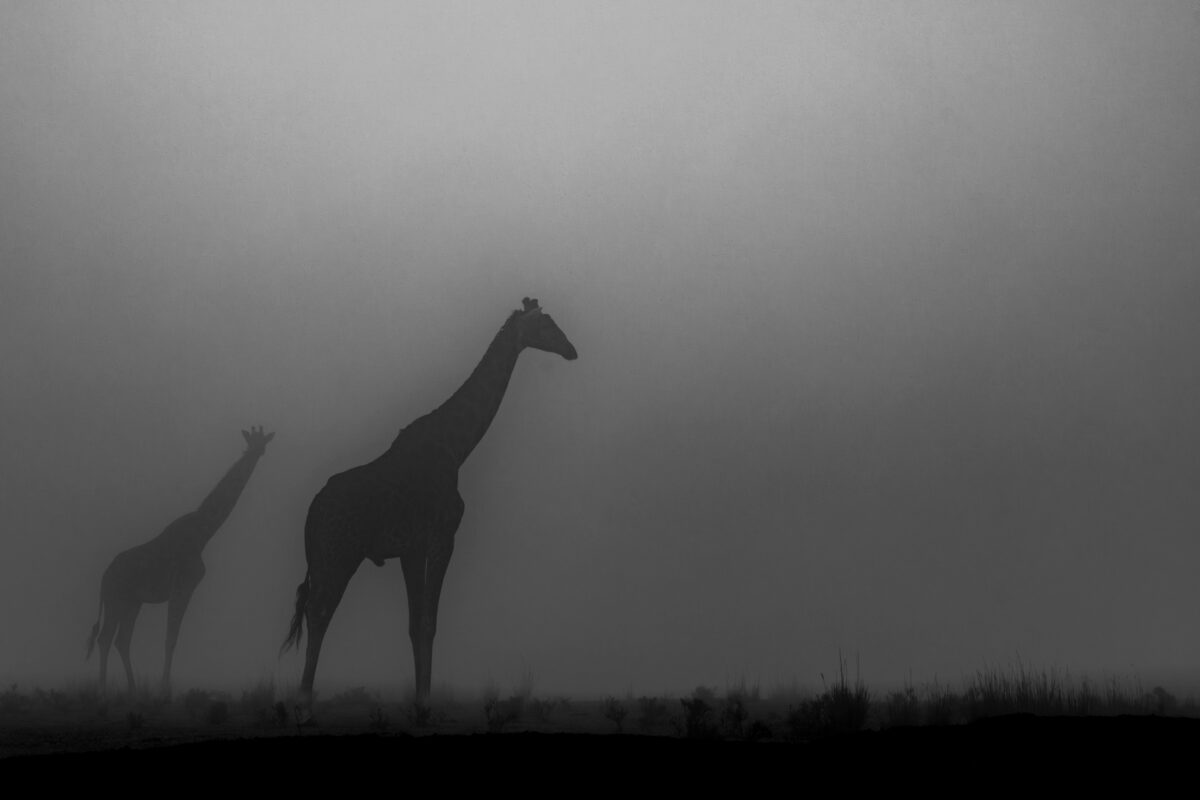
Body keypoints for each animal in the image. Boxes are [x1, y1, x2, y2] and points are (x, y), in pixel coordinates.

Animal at [85, 426, 275, 695]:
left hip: (133, 602)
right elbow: (171, 638)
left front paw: (162, 686)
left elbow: (171, 637)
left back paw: (133, 688)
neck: (203, 532)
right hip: (116, 598)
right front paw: (165, 687)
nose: (258, 451)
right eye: (251, 442)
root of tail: (104, 577)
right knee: (106, 637)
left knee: (121, 640)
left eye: (263, 441)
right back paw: (103, 689)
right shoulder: (183, 586)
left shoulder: (183, 588)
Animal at [281, 297, 577, 712]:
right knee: (320, 611)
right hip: (339, 555)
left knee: (313, 610)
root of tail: (311, 513)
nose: (571, 350)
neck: (457, 447)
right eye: (546, 324)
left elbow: (413, 622)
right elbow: (429, 622)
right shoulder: (443, 537)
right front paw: (424, 702)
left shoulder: (411, 548)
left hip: (321, 557)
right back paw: (304, 704)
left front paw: (418, 701)